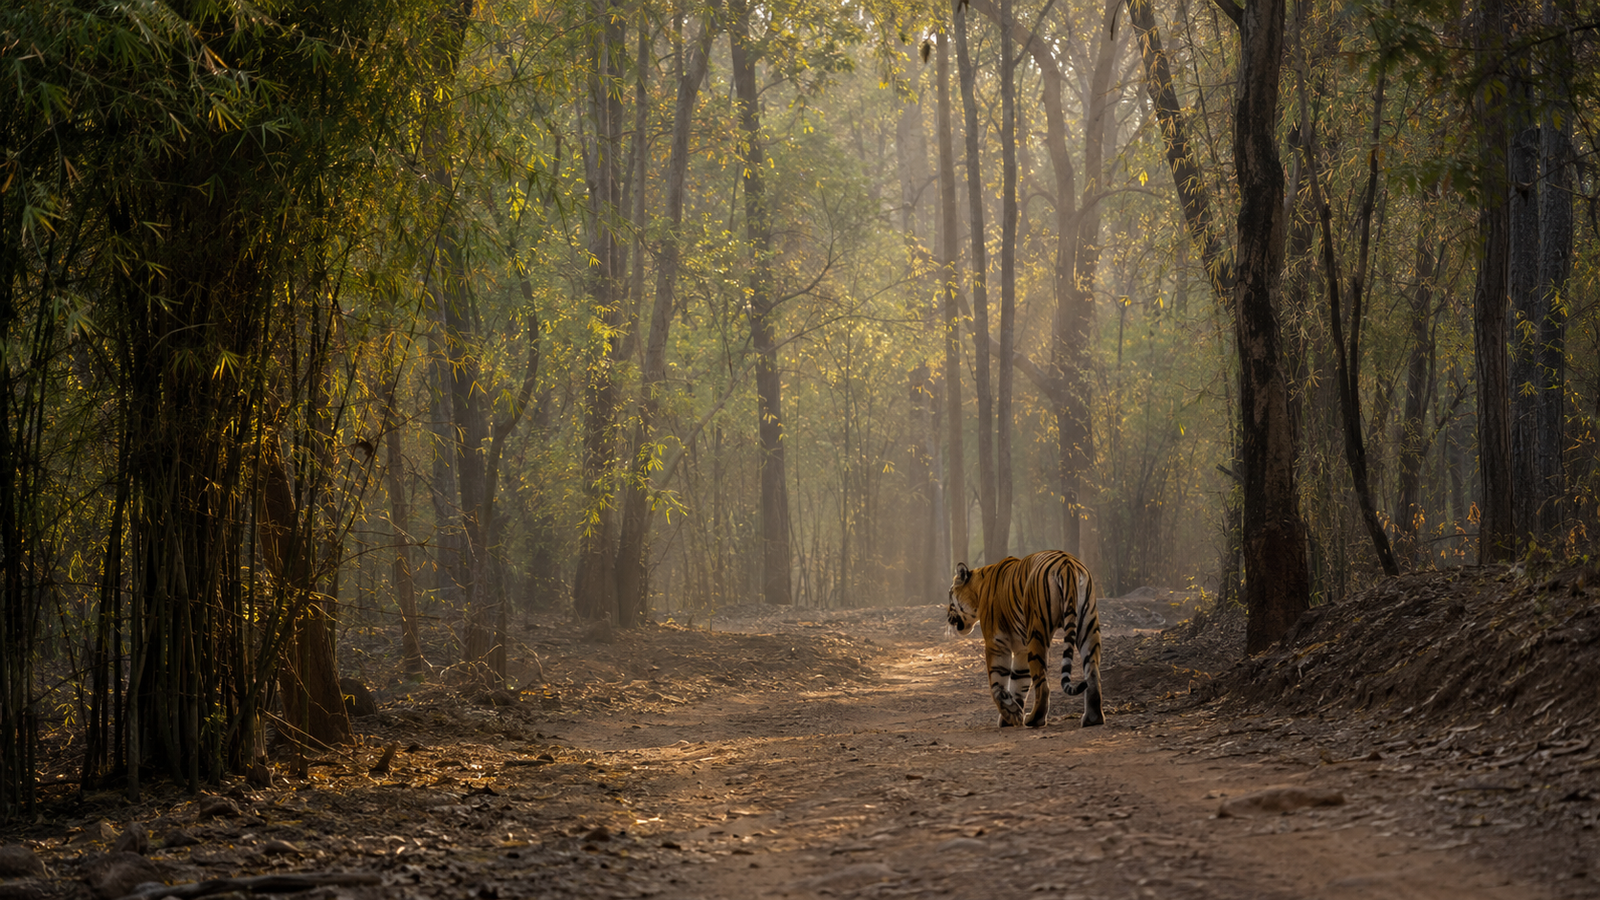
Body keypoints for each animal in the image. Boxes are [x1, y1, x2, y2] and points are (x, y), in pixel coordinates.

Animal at [946, 550, 1104, 728]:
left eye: (950, 595)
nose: (947, 615)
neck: (978, 589)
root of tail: (1067, 564)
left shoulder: (996, 643)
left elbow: (997, 682)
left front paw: (1011, 713)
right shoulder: (1021, 648)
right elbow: (1019, 681)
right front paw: (1012, 715)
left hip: (1037, 630)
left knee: (1043, 684)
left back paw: (1035, 718)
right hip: (1088, 626)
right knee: (1092, 673)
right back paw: (1092, 718)